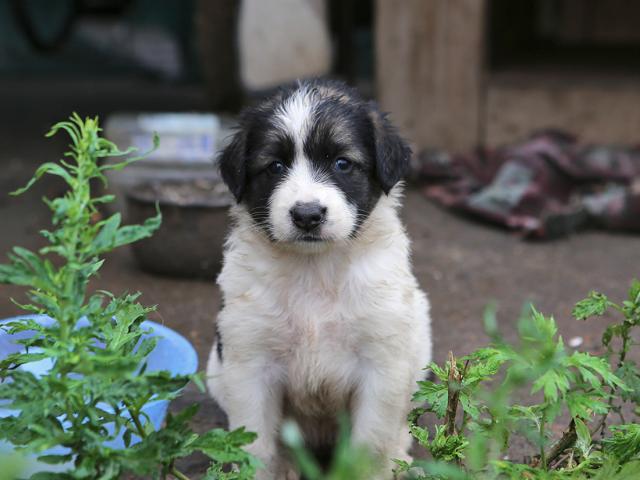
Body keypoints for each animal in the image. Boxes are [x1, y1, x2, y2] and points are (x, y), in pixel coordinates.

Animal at [208, 80, 432, 478]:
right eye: (275, 166)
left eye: (342, 163)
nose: (307, 215)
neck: (315, 269)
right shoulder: (249, 362)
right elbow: (255, 443)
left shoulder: (382, 363)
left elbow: (371, 442)